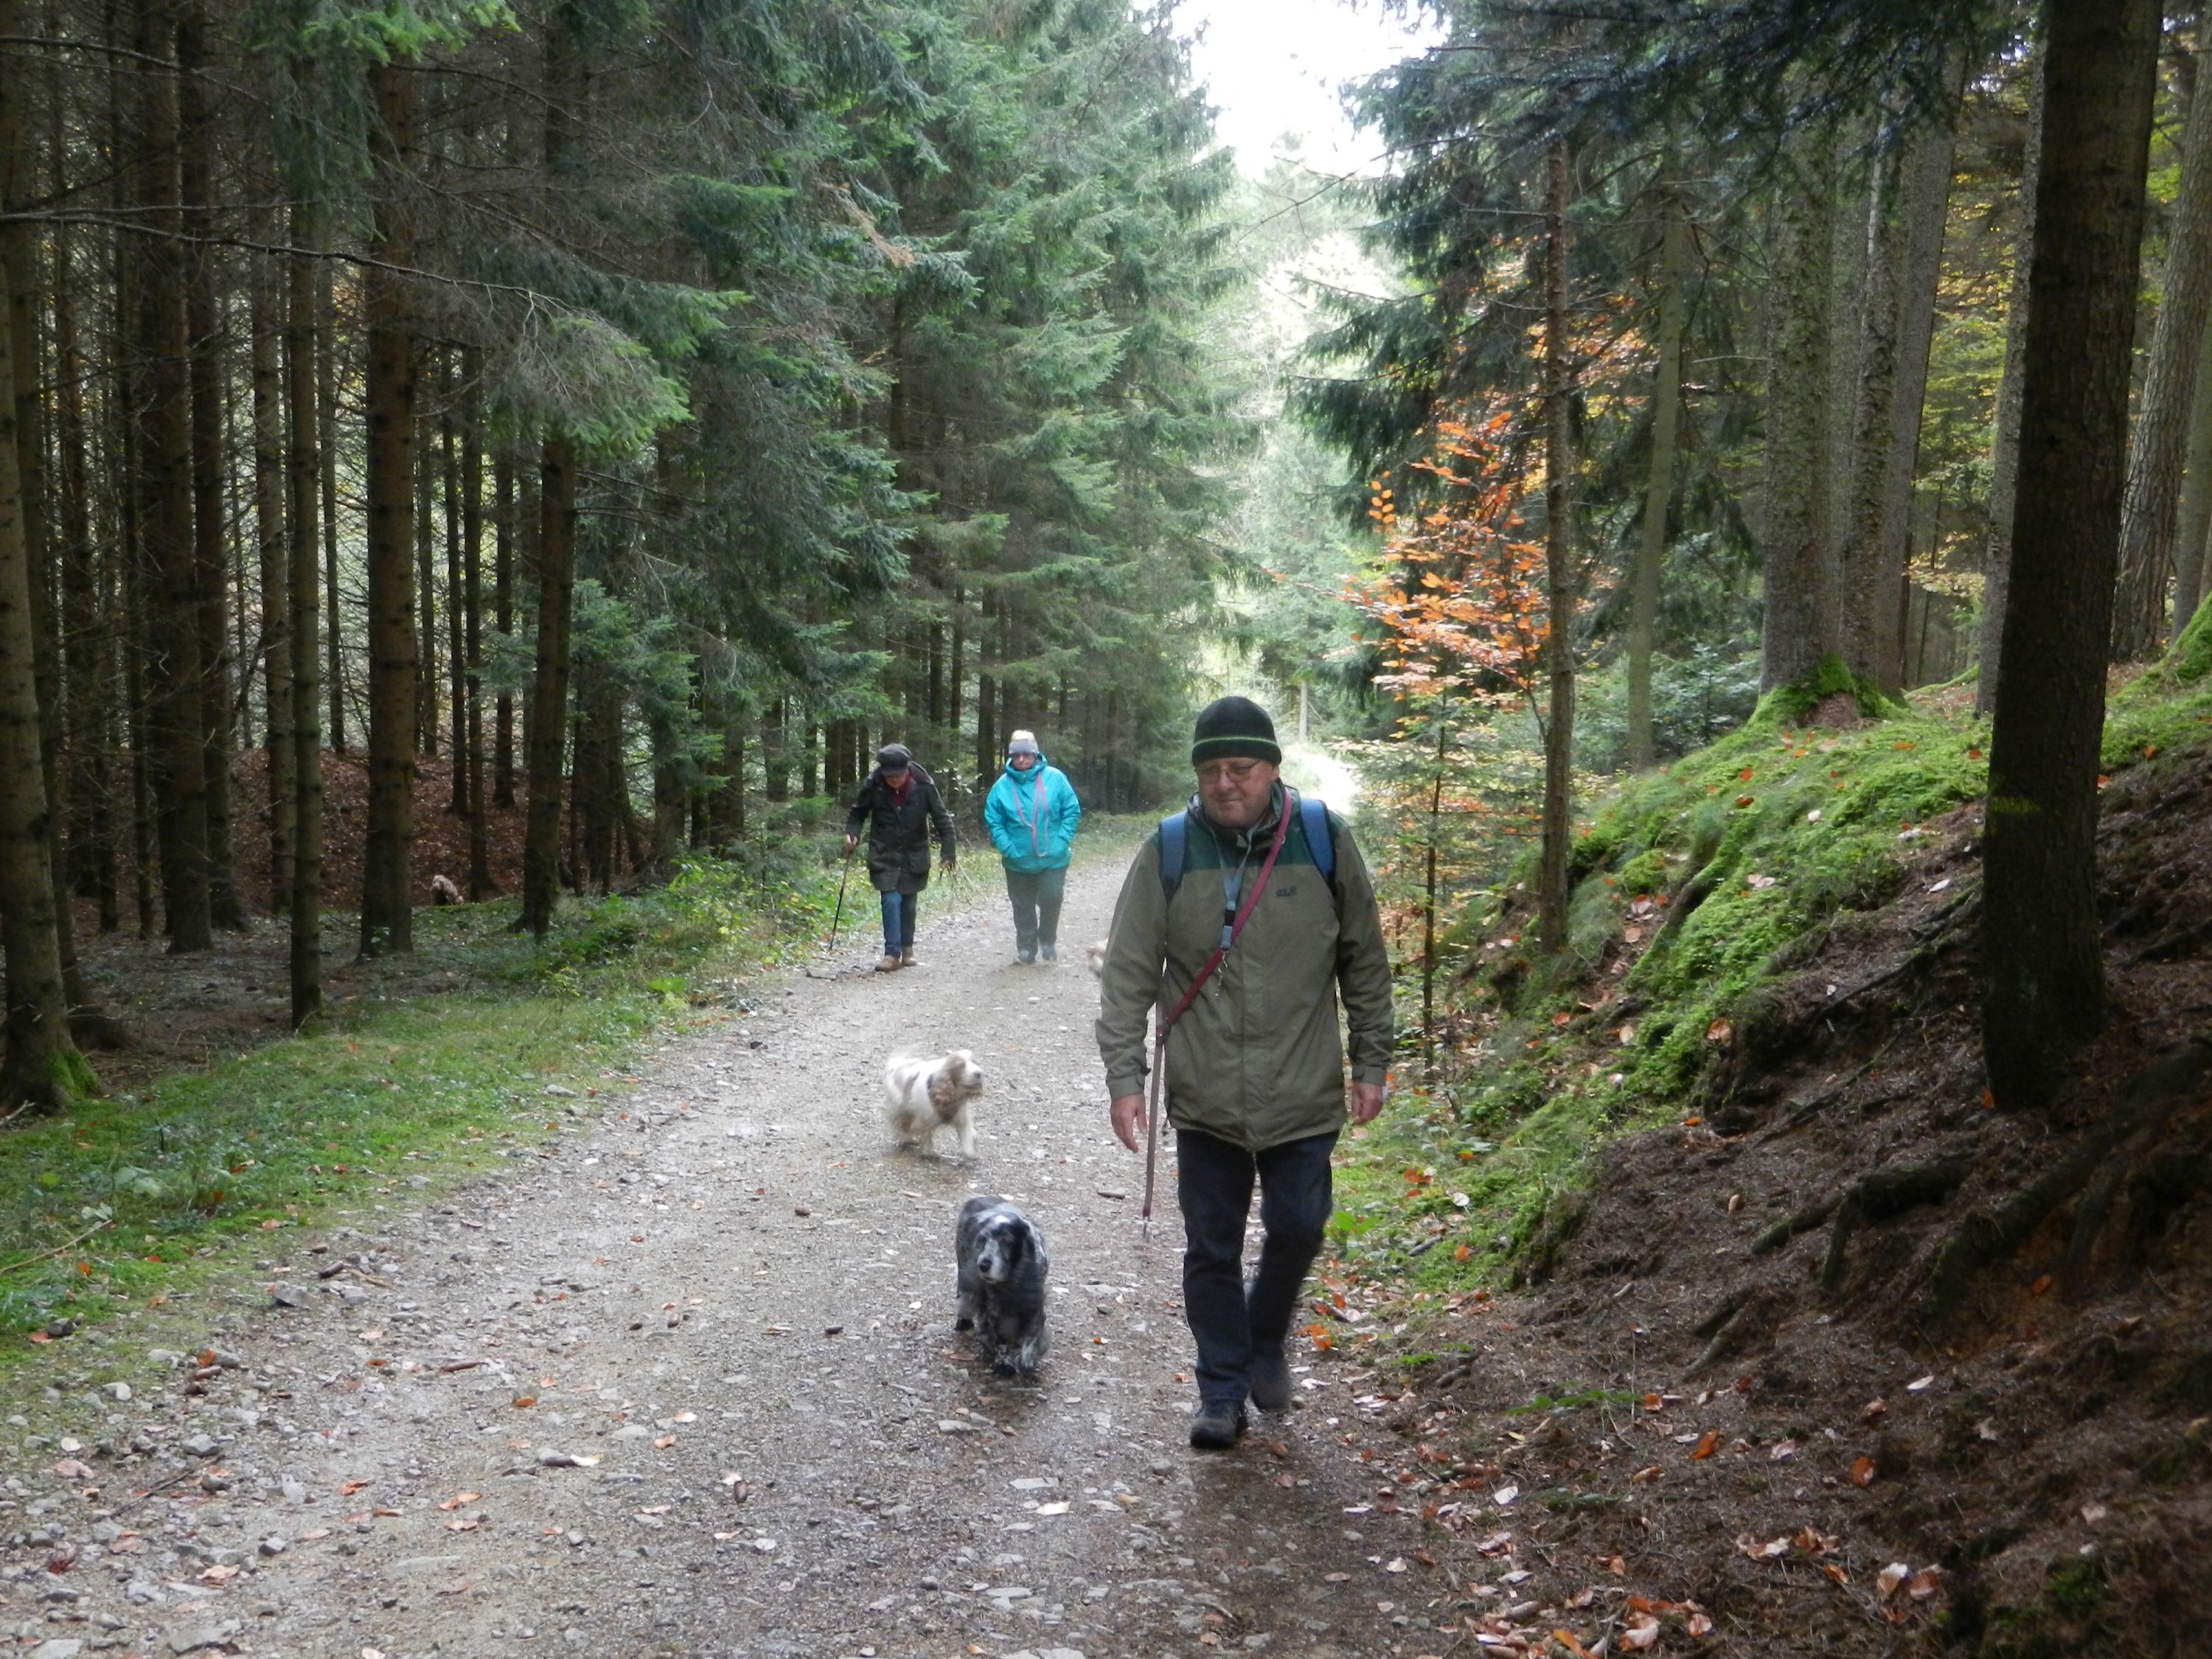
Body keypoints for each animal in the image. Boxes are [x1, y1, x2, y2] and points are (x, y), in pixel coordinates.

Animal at [884, 1049, 984, 1159]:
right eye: (961, 1065)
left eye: (975, 1062)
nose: (979, 1073)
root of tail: (896, 1065)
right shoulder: (923, 1122)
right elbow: (926, 1137)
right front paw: (929, 1152)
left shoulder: (961, 1118)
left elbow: (966, 1136)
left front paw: (970, 1153)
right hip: (902, 1108)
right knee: (901, 1123)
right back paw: (907, 1138)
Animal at [954, 1196, 1050, 1378]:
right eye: (983, 1240)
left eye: (1008, 1241)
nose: (983, 1265)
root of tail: (976, 1199)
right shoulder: (994, 1311)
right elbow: (1001, 1341)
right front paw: (1004, 1363)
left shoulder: (1034, 1305)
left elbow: (1031, 1338)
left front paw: (1028, 1362)